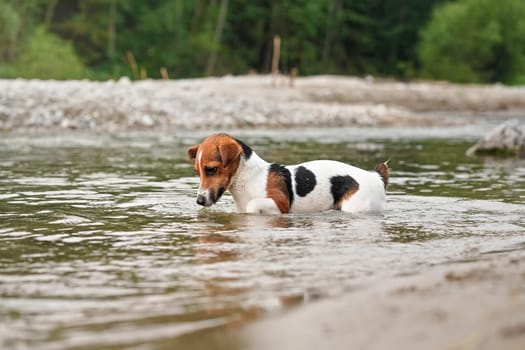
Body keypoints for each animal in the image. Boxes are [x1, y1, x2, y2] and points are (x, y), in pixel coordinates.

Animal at [186, 134, 386, 215]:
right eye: (197, 172)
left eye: (211, 169)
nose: (200, 201)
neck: (249, 179)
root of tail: (376, 177)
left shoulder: (281, 203)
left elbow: (253, 205)